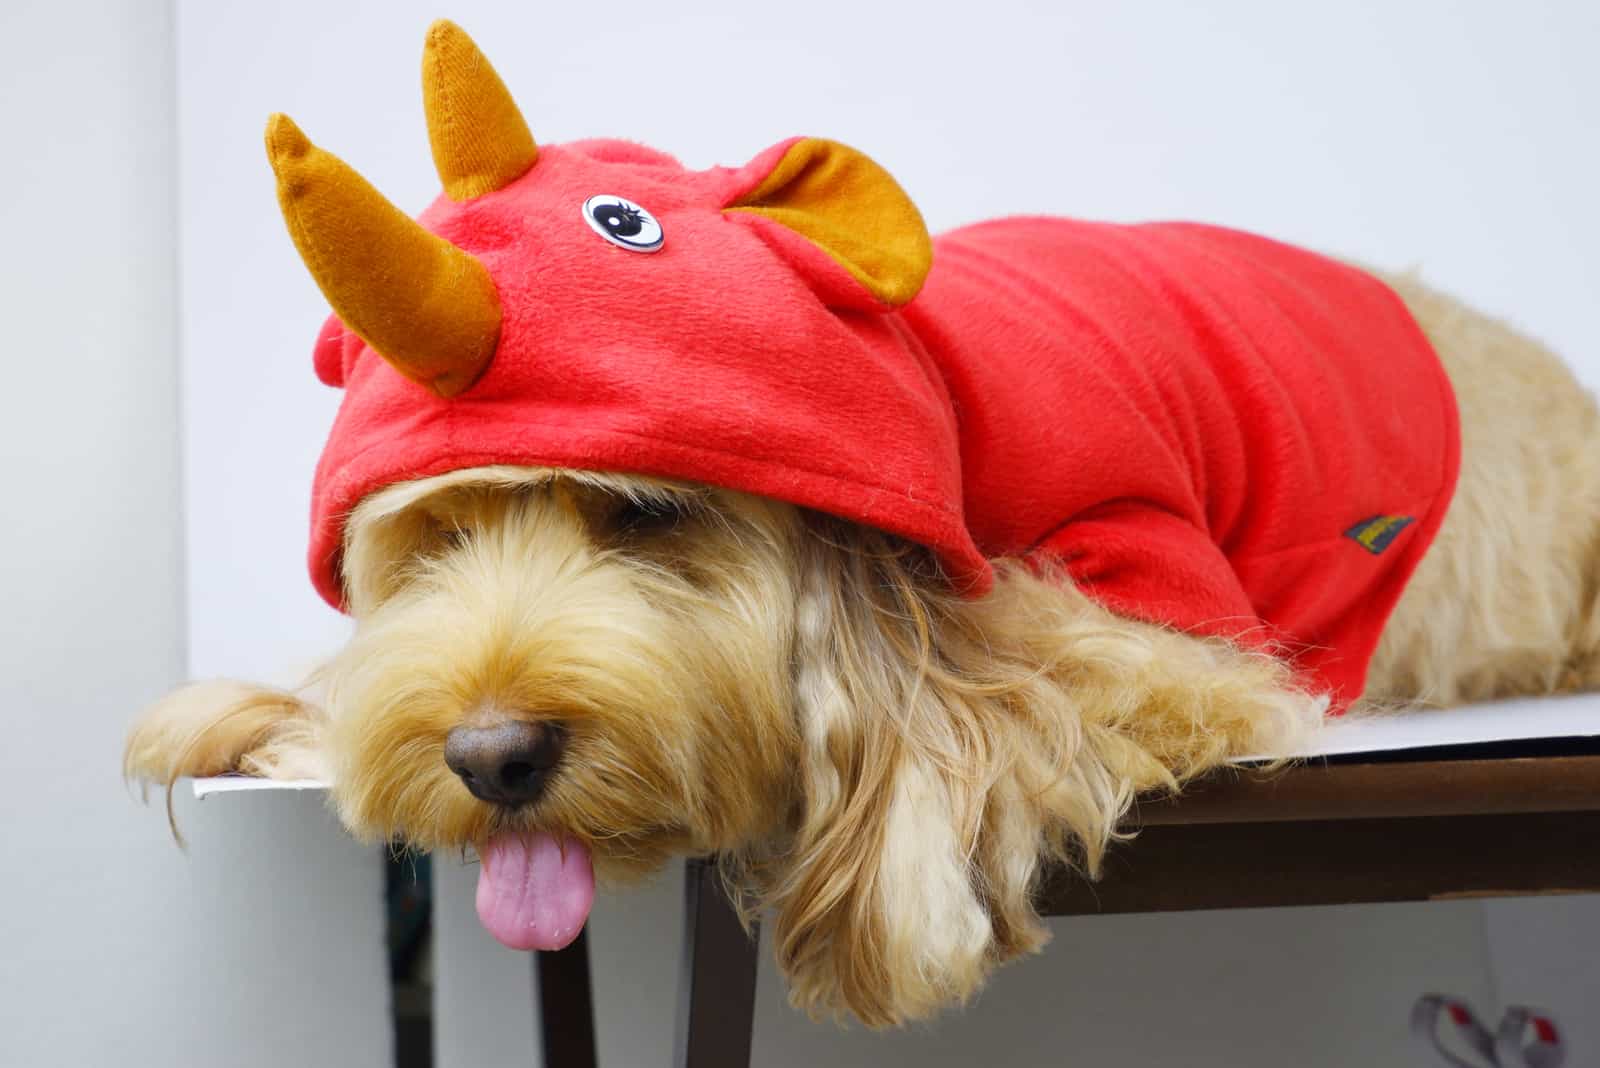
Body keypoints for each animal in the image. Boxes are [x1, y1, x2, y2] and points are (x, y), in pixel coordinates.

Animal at [128, 20, 1600, 1029]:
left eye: (646, 514)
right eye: (435, 540)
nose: (490, 760)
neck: (927, 379)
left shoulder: (1159, 629)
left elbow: (1015, 677)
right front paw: (274, 715)